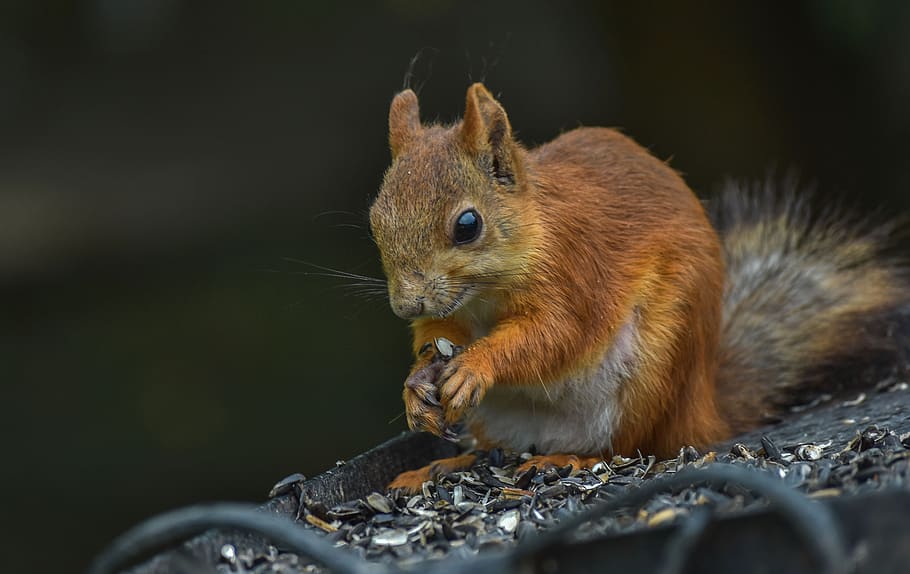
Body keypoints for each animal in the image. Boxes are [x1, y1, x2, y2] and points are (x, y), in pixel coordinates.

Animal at [368, 83, 910, 492]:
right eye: (375, 219)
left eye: (468, 225)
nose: (406, 303)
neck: (485, 295)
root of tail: (702, 409)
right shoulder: (451, 315)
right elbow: (438, 334)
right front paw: (416, 384)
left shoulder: (576, 272)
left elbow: (555, 335)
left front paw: (475, 366)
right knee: (495, 450)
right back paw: (443, 466)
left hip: (653, 370)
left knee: (629, 448)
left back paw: (569, 460)